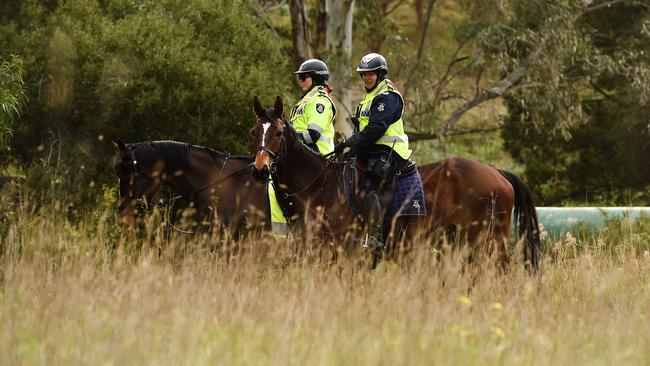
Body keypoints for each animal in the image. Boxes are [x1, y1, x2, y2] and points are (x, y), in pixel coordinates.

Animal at [251, 96, 540, 270]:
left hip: (490, 242)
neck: (319, 187)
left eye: (279, 133)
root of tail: (498, 173)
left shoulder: (339, 252)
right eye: (255, 131)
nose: (260, 169)